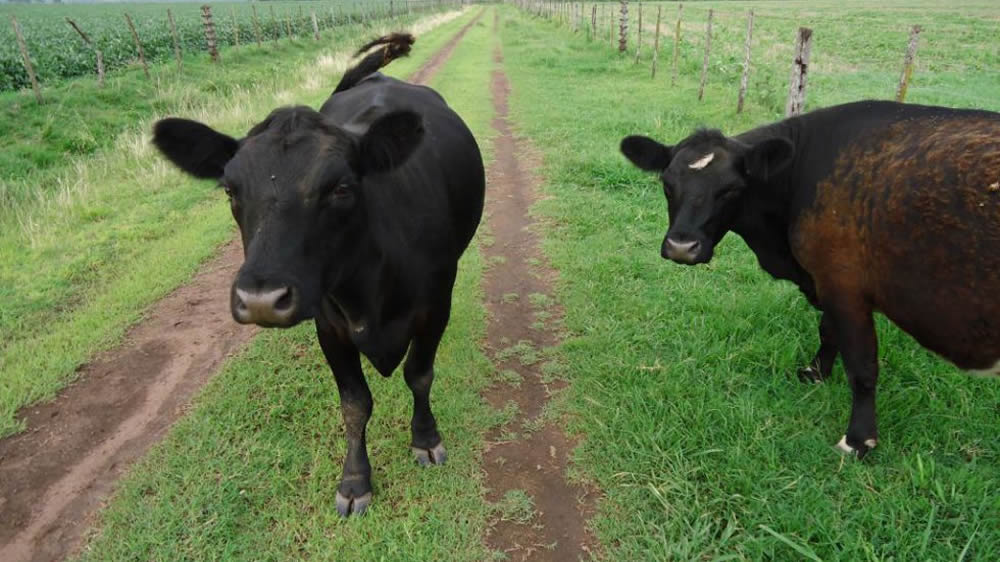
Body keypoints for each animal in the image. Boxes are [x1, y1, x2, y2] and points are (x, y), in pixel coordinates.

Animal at [149, 35, 488, 516]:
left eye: (341, 188)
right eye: (230, 190)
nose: (261, 299)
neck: (372, 291)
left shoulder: (437, 302)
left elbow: (419, 374)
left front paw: (425, 438)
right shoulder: (329, 323)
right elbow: (355, 404)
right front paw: (355, 480)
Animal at [620, 100, 1000, 458]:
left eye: (730, 189)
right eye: (667, 184)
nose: (681, 246)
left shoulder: (843, 285)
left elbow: (862, 367)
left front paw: (858, 440)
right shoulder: (825, 281)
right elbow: (827, 331)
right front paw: (815, 372)